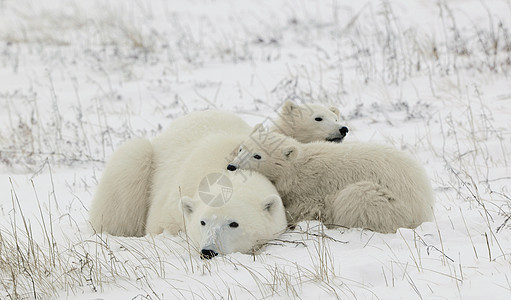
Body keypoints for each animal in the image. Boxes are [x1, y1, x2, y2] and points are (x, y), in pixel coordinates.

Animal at [229, 127, 436, 233]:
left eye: (257, 156)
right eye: (241, 148)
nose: (232, 166)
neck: (297, 169)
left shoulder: (311, 190)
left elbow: (306, 209)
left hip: (388, 200)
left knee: (358, 198)